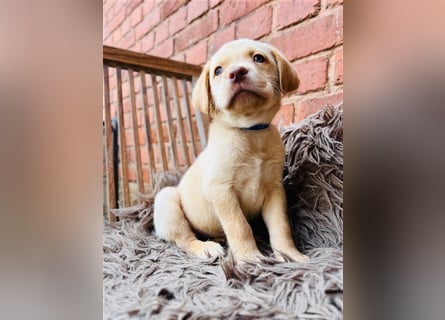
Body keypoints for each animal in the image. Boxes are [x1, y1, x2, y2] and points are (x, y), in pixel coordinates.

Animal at [153, 38, 306, 262]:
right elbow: (239, 226)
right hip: (167, 199)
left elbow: (280, 226)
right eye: (218, 70)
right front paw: (250, 258)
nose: (237, 72)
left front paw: (289, 255)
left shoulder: (274, 189)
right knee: (184, 239)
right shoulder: (222, 190)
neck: (249, 132)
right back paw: (206, 248)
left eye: (259, 58)